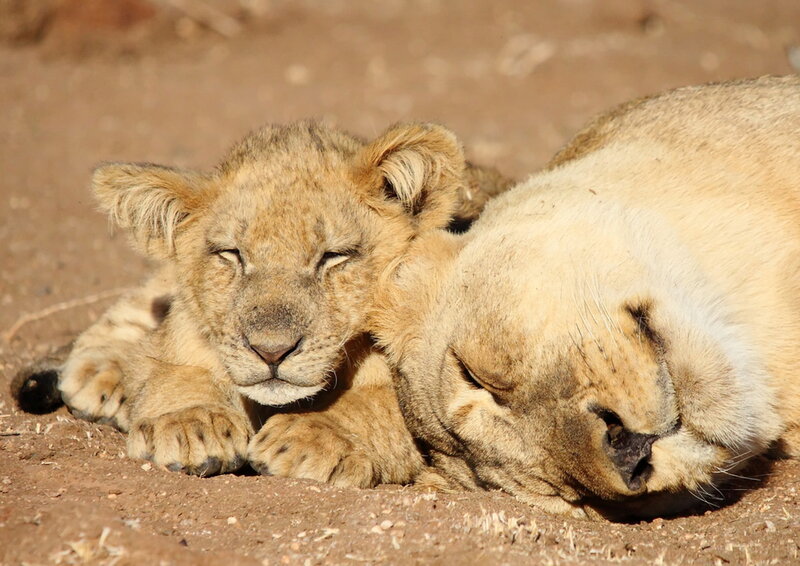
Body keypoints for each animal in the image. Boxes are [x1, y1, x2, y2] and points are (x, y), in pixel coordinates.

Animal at [13, 120, 512, 486]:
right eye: (232, 254)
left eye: (333, 257)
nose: (271, 352)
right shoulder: (192, 330)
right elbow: (176, 365)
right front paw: (190, 424)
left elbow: (381, 403)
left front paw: (316, 436)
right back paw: (102, 373)